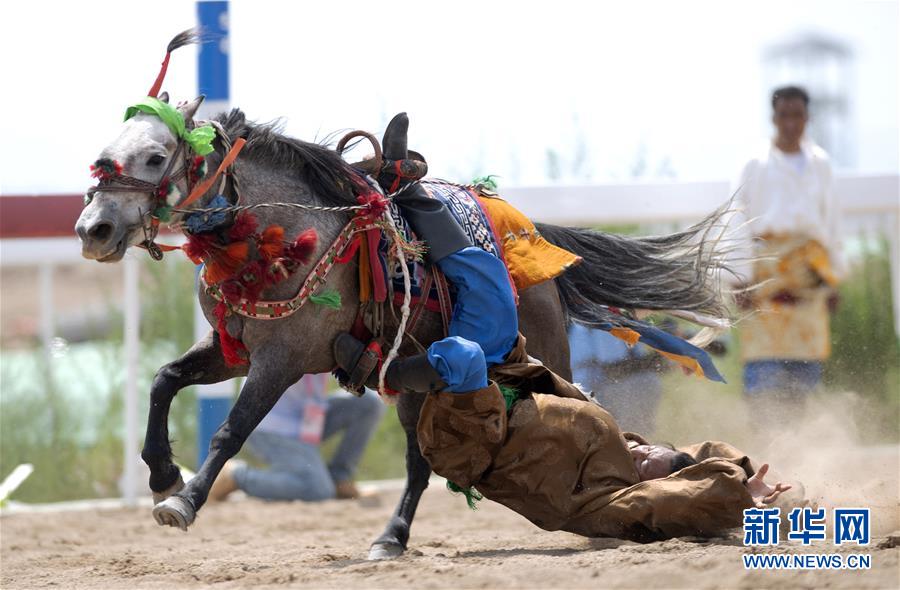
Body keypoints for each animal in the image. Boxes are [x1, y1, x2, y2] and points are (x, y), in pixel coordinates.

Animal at [74, 95, 728, 560]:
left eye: (155, 156)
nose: (92, 229)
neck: (287, 234)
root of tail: (537, 251)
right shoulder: (231, 348)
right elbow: (163, 379)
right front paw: (162, 473)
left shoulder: (281, 360)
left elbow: (231, 431)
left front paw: (182, 502)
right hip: (416, 385)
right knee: (419, 463)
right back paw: (391, 536)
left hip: (537, 356)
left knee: (588, 412)